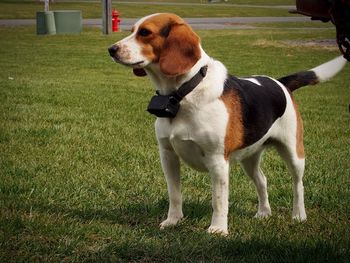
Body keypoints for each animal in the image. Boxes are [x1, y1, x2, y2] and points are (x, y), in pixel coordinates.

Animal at [108, 12, 348, 236]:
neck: (183, 93)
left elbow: (219, 199)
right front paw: (173, 221)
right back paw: (264, 212)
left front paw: (218, 229)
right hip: (250, 158)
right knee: (262, 181)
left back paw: (298, 215)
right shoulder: (168, 155)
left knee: (298, 185)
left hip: (293, 152)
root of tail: (281, 83)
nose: (111, 49)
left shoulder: (217, 160)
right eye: (132, 30)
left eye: (145, 32)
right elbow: (174, 194)